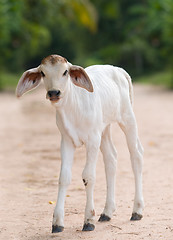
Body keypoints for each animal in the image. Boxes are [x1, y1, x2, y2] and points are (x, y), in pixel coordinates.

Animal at [16, 54, 144, 232]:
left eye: (65, 72)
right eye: (42, 73)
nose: (54, 92)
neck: (72, 108)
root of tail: (119, 70)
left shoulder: (92, 140)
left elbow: (88, 176)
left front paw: (88, 220)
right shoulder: (66, 141)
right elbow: (64, 177)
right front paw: (57, 222)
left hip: (127, 119)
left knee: (136, 156)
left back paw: (137, 210)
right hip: (104, 129)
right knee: (111, 159)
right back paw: (107, 212)